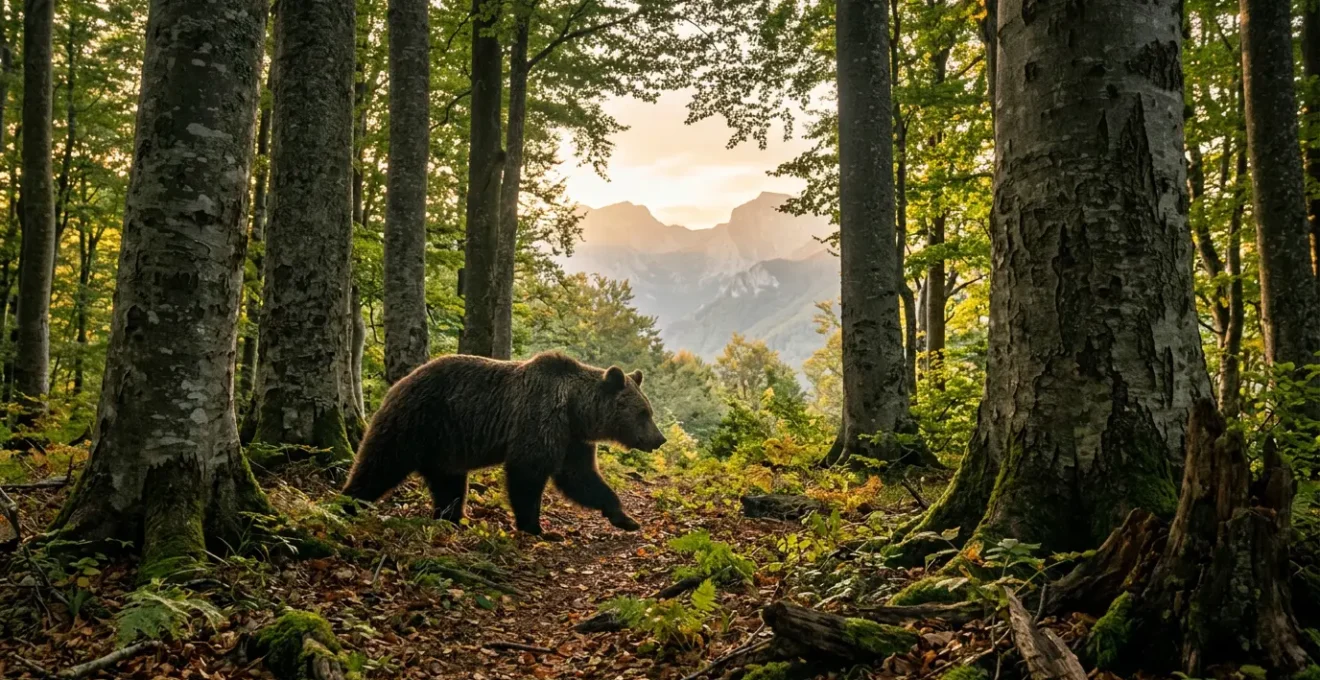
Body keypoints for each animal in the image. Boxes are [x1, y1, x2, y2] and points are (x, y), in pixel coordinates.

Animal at [341, 351, 666, 535]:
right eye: (643, 412)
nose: (659, 439)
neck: (575, 409)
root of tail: (398, 383)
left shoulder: (572, 438)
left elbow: (580, 477)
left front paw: (624, 517)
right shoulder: (539, 418)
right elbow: (528, 473)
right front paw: (538, 528)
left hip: (446, 446)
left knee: (449, 484)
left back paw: (453, 518)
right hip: (418, 422)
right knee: (379, 464)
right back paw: (347, 503)